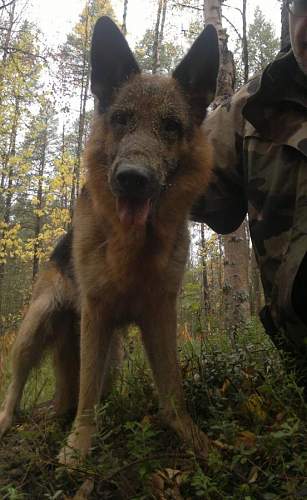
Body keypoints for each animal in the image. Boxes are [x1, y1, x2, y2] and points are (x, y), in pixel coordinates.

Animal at [0, 17, 220, 466]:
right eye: (120, 119)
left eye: (171, 126)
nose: (132, 179)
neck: (134, 246)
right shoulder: (97, 314)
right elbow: (86, 392)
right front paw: (78, 445)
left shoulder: (160, 313)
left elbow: (172, 387)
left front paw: (191, 437)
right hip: (35, 328)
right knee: (21, 383)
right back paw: (9, 420)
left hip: (112, 354)